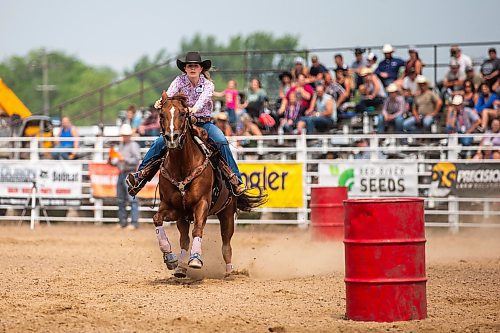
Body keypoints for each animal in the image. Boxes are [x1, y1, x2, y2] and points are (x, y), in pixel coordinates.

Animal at [152, 91, 266, 278]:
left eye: (183, 113)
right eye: (161, 114)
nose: (172, 138)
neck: (182, 166)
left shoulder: (202, 204)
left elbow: (198, 229)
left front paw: (196, 259)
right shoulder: (172, 207)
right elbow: (157, 219)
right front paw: (170, 258)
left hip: (227, 214)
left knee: (226, 245)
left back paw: (229, 272)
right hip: (183, 218)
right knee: (184, 240)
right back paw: (180, 267)